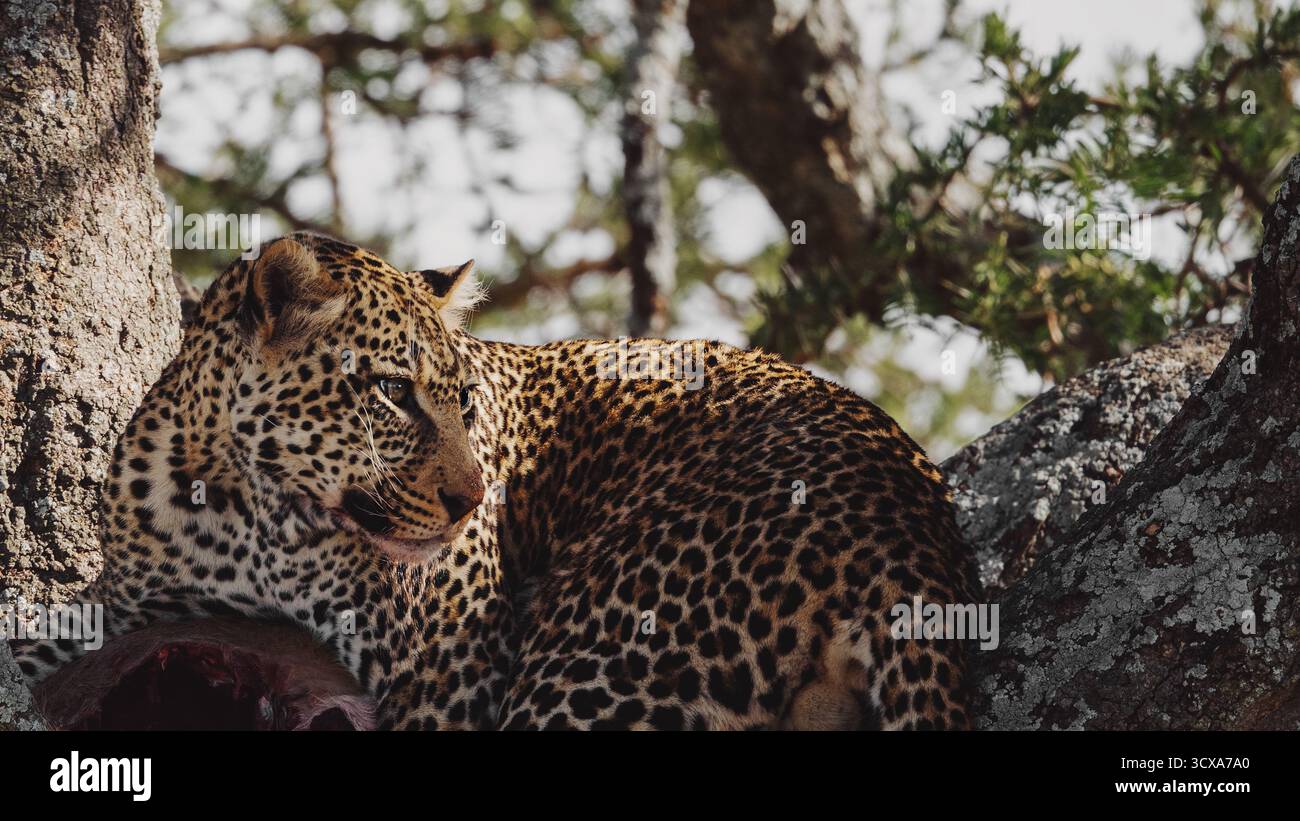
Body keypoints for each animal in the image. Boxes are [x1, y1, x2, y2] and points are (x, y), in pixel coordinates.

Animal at [10, 231, 979, 730]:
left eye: (466, 398)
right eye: (392, 392)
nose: (472, 501)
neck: (245, 505)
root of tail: (911, 527)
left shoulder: (444, 671)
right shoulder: (137, 606)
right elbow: (33, 638)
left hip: (595, 656)